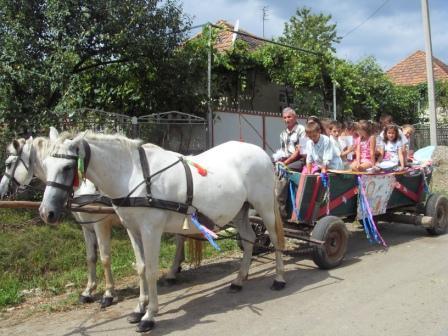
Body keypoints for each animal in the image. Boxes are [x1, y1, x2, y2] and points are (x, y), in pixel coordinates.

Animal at [0, 131, 191, 308]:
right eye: (47, 166)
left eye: (8, 164)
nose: (46, 212)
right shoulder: (86, 226)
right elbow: (91, 257)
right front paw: (88, 291)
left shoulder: (101, 224)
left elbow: (105, 258)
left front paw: (108, 294)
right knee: (181, 238)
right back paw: (176, 268)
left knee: (180, 240)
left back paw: (172, 272)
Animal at [37, 132, 284, 334]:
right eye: (45, 165)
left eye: (67, 167)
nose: (47, 212)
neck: (134, 175)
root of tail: (261, 153)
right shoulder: (132, 230)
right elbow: (140, 268)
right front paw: (139, 308)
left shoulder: (151, 230)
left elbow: (151, 271)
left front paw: (149, 316)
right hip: (240, 210)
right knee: (250, 239)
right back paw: (239, 280)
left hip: (264, 206)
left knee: (274, 238)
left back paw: (279, 279)